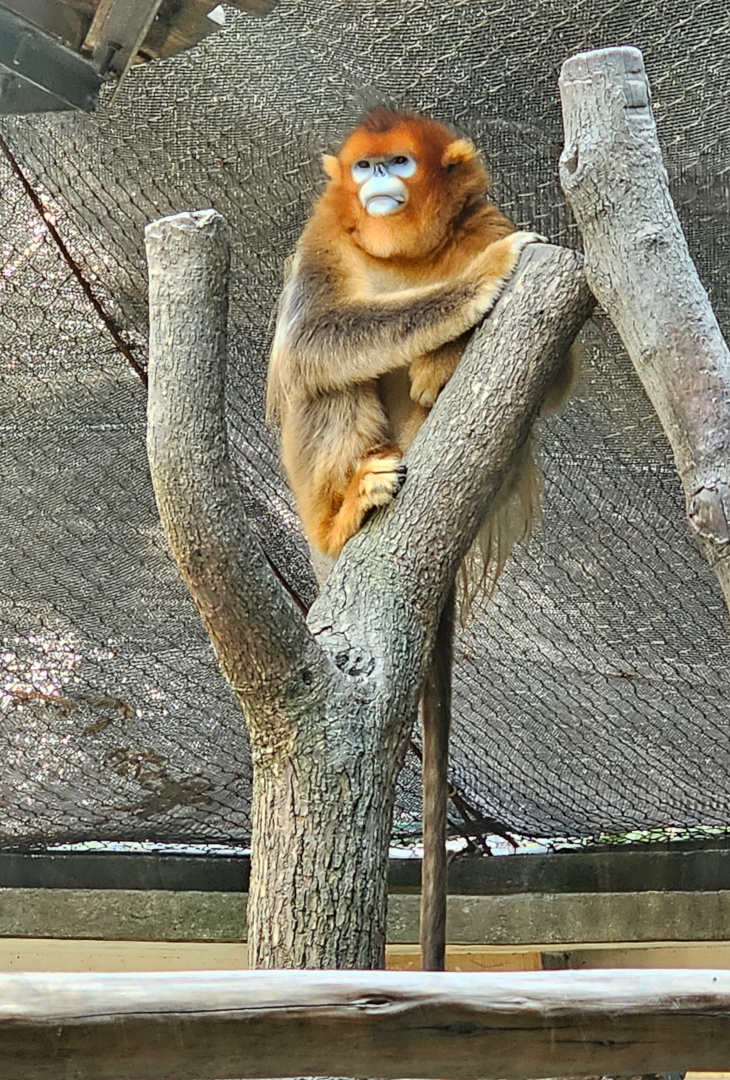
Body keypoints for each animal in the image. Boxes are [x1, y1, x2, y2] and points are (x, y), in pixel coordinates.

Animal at [267, 108, 576, 970]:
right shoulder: (321, 235)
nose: (377, 183)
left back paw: (442, 373)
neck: (404, 252)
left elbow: (558, 373)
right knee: (327, 377)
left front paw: (451, 341)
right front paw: (475, 288)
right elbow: (310, 341)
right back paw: (348, 508)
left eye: (400, 162)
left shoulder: (489, 219)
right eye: (364, 165)